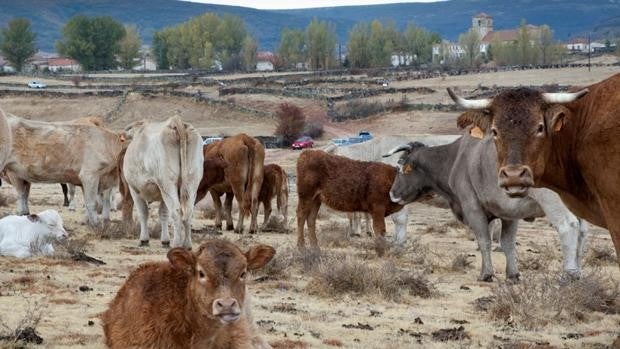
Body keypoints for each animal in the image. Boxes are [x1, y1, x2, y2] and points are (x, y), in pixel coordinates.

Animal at [123, 115, 203, 246]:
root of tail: (174, 122)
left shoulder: (134, 189)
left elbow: (143, 212)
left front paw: (144, 239)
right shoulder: (161, 194)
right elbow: (163, 214)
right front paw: (165, 240)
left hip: (167, 184)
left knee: (176, 211)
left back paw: (176, 244)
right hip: (191, 182)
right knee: (188, 212)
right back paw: (187, 244)